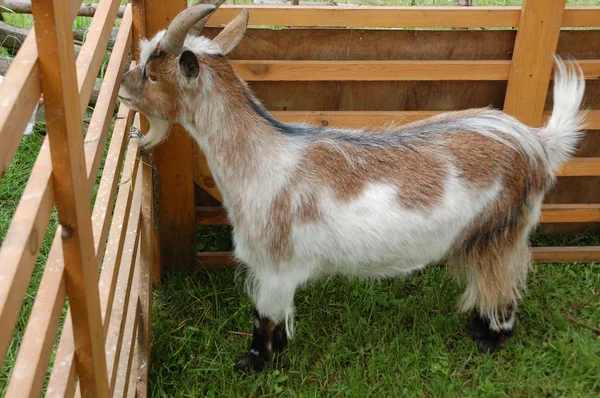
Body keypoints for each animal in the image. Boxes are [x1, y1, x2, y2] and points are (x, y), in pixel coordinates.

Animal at [119, 3, 588, 370]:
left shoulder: (275, 264)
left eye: (153, 74)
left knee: (503, 286)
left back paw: (490, 339)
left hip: (501, 230)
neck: (262, 158)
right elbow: (278, 317)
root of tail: (536, 143)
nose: (122, 85)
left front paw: (254, 364)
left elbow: (263, 318)